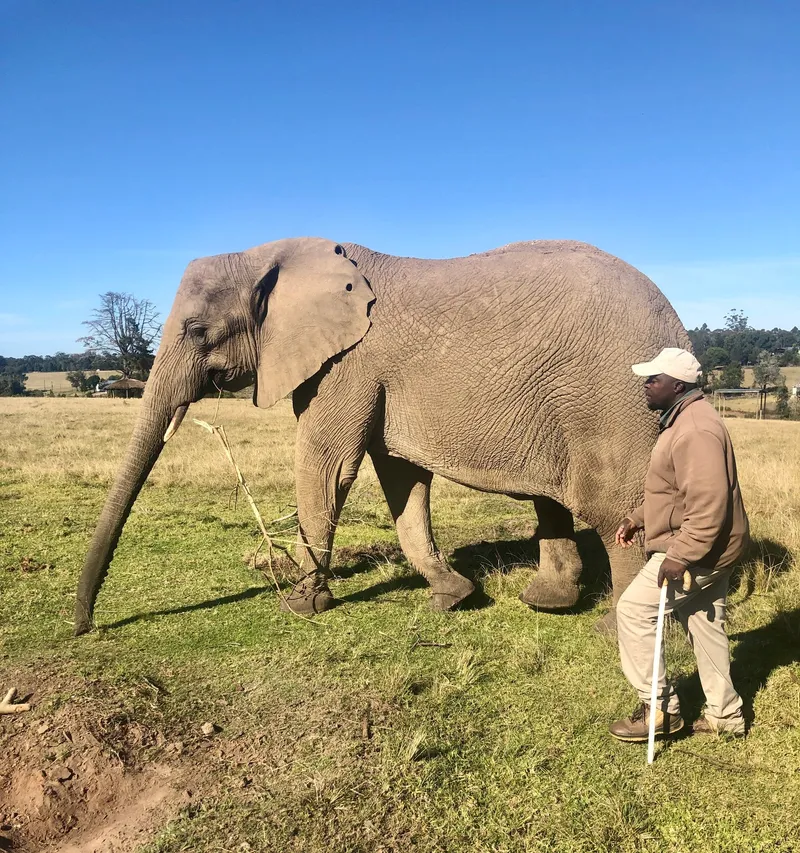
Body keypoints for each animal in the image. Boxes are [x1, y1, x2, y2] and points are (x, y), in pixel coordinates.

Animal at [73, 237, 691, 636]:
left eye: (199, 331)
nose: (85, 628)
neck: (270, 253)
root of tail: (677, 323)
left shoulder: (348, 364)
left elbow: (328, 464)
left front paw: (301, 607)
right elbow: (401, 477)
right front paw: (452, 597)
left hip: (610, 401)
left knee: (615, 515)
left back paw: (614, 631)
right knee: (553, 500)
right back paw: (548, 603)